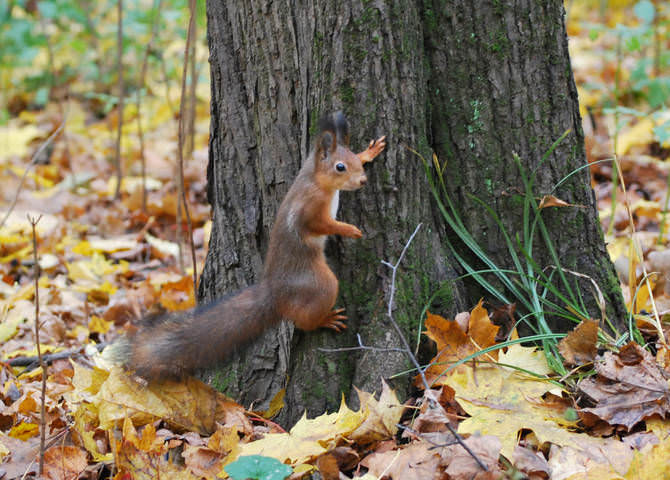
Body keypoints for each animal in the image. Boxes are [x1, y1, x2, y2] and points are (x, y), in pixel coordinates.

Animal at [119, 112, 386, 379]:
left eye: (354, 159)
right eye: (340, 167)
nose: (362, 180)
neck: (314, 178)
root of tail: (275, 293)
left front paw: (370, 152)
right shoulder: (309, 209)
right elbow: (319, 225)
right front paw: (349, 229)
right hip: (320, 284)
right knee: (304, 320)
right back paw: (325, 320)